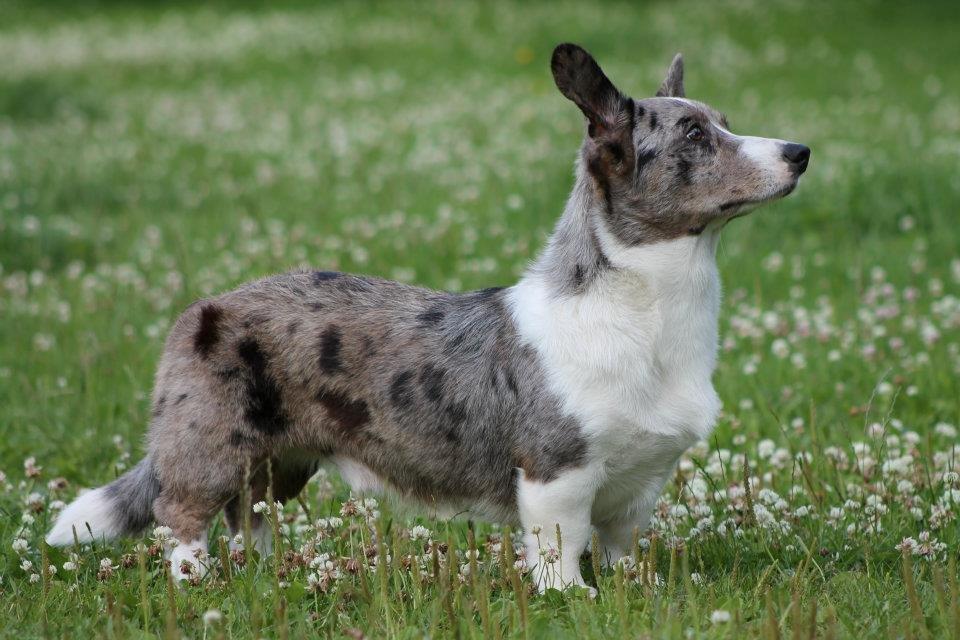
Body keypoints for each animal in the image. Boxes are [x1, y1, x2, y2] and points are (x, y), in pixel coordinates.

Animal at [48, 46, 808, 596]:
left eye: (722, 120)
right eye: (695, 136)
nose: (800, 152)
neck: (644, 310)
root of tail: (203, 308)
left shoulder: (638, 484)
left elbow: (622, 547)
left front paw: (635, 592)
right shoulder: (556, 476)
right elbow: (560, 551)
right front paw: (574, 600)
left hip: (279, 461)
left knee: (251, 514)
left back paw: (264, 576)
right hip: (209, 448)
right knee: (185, 517)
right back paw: (197, 582)